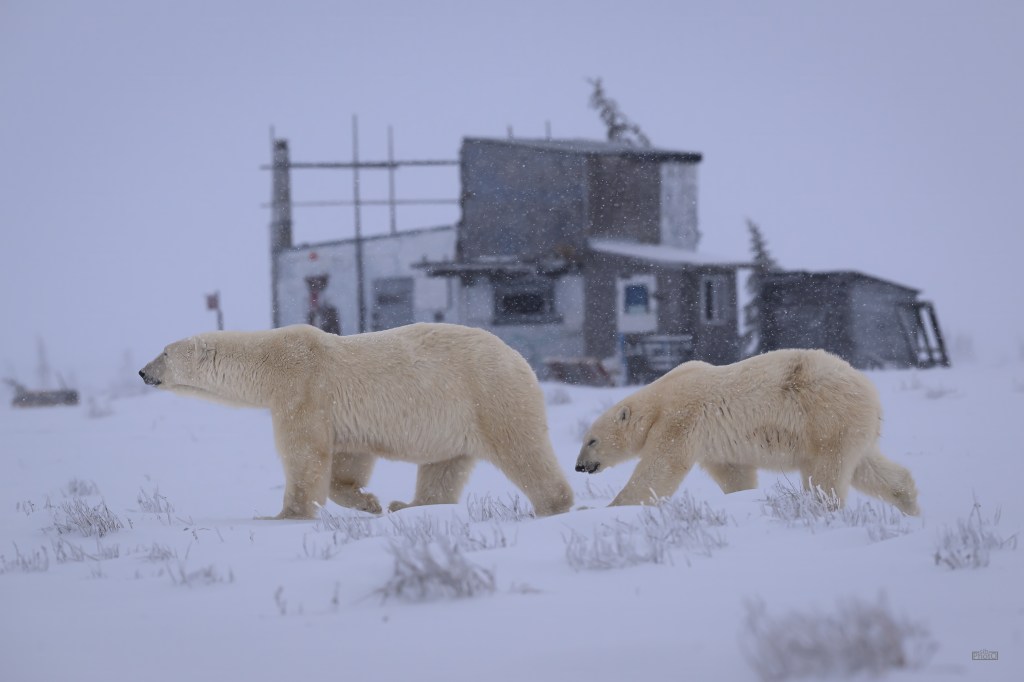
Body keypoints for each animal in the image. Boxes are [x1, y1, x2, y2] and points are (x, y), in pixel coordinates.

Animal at [139, 323, 574, 519]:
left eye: (164, 352)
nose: (142, 372)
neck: (273, 362)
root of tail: (521, 359)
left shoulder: (304, 390)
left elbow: (305, 455)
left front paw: (284, 515)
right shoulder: (337, 415)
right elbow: (348, 460)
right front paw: (369, 502)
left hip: (489, 396)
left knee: (522, 449)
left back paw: (554, 505)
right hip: (455, 418)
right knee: (443, 467)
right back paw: (408, 505)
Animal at [576, 348, 919, 515]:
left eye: (591, 440)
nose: (579, 466)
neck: (660, 398)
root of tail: (870, 392)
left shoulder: (680, 418)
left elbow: (660, 468)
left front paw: (602, 508)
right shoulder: (714, 444)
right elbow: (734, 473)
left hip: (825, 418)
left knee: (826, 473)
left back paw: (819, 507)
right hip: (851, 427)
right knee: (867, 466)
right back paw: (910, 504)